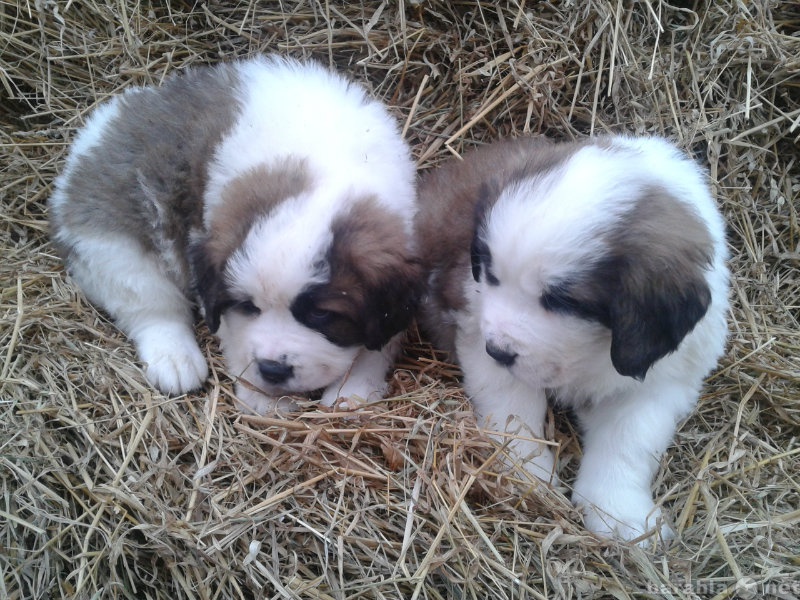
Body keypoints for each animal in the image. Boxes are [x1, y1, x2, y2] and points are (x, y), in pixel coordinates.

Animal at [50, 55, 422, 412]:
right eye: (246, 305)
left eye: (321, 314)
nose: (273, 370)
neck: (324, 174)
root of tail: (98, 129)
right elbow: (232, 333)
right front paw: (263, 397)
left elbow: (379, 343)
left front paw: (352, 389)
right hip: (115, 245)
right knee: (151, 306)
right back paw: (174, 358)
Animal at [418, 137, 732, 544]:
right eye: (490, 274)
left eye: (561, 300)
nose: (497, 349)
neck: (595, 352)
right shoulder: (475, 327)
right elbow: (514, 411)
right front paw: (526, 474)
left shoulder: (660, 382)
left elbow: (629, 442)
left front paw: (620, 513)